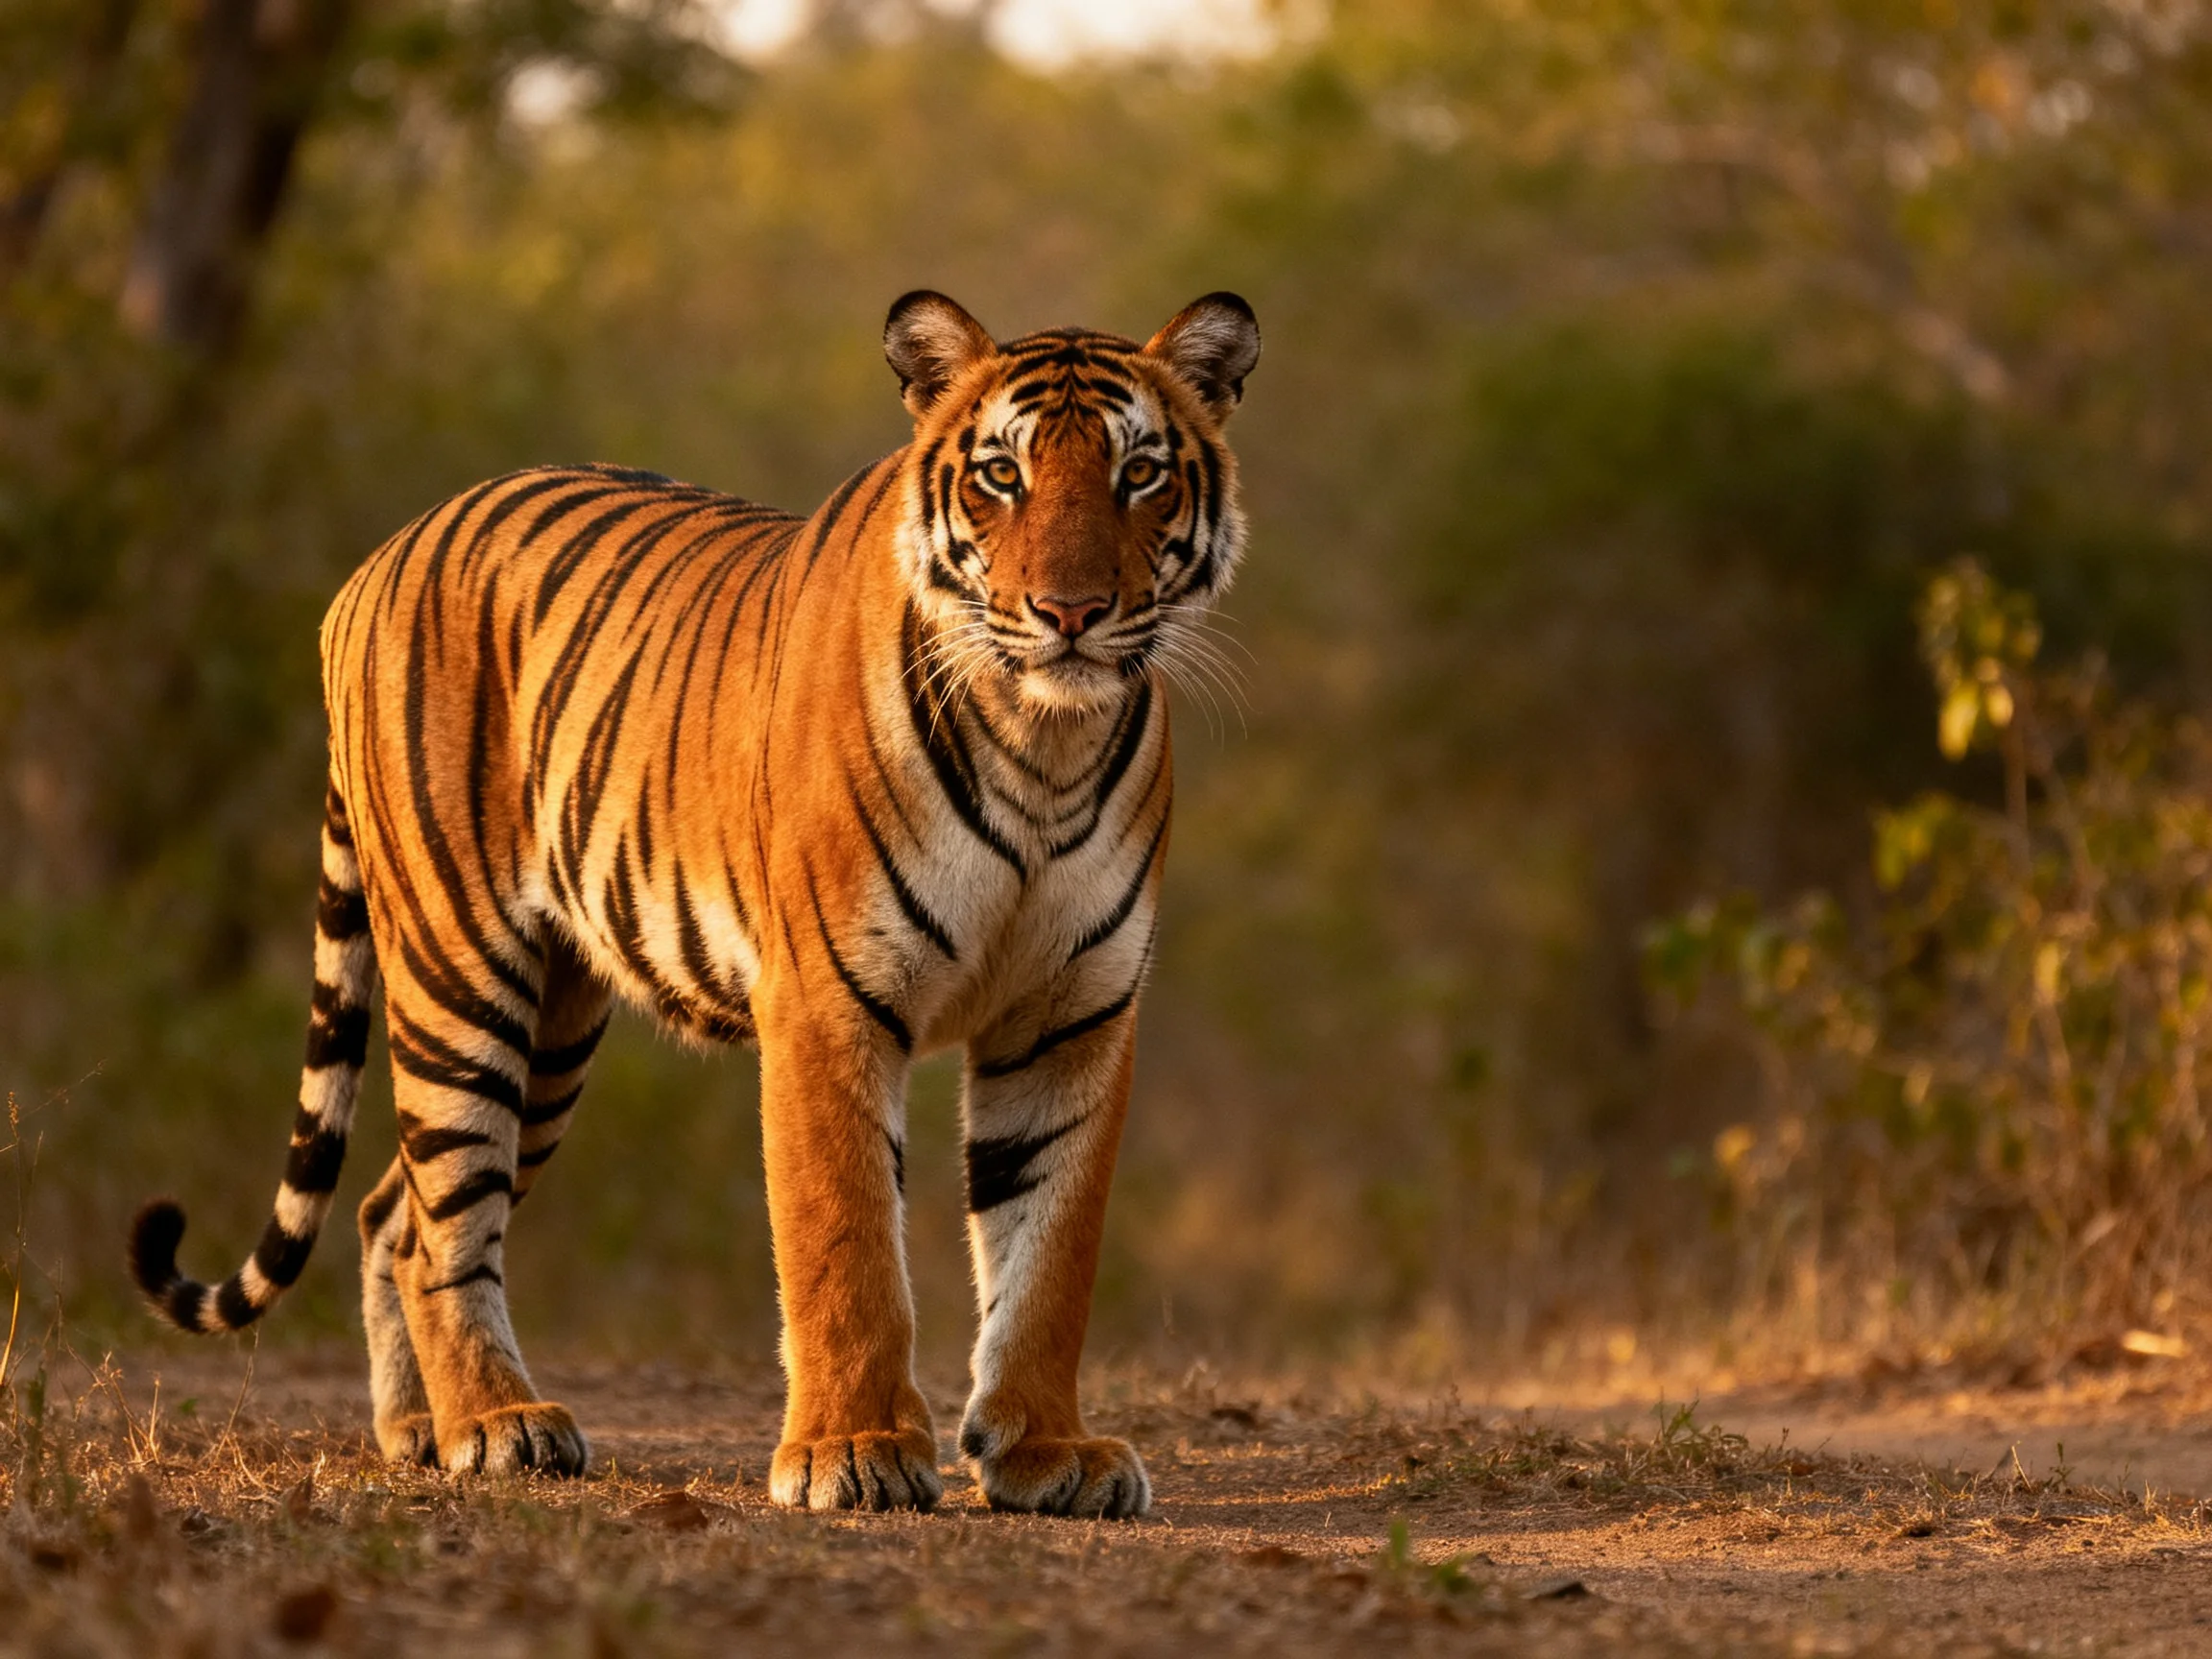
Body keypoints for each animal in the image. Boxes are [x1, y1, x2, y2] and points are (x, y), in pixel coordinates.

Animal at [128, 290, 1260, 1517]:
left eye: (1139, 474)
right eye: (1002, 476)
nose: (1069, 612)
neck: (1042, 740)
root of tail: (381, 556)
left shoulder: (1072, 1013)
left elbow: (1049, 1248)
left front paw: (1048, 1451)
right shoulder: (829, 998)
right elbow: (845, 1240)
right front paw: (854, 1452)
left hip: (555, 1030)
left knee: (398, 1210)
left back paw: (417, 1432)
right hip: (459, 971)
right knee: (442, 1223)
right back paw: (497, 1425)